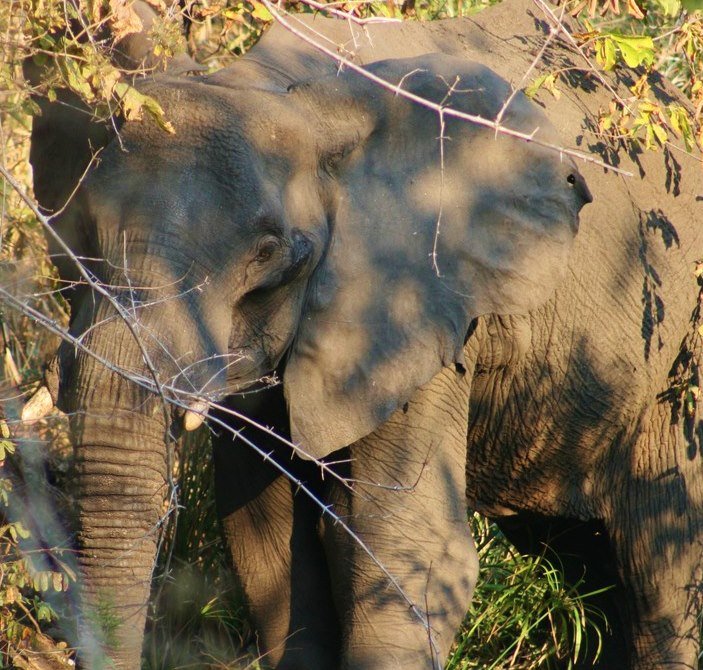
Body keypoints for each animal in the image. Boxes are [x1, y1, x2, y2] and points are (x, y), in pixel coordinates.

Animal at [22, 0, 702, 669]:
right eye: (72, 242)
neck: (283, 91)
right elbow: (266, 541)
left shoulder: (422, 302)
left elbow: (406, 544)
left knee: (661, 569)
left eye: (269, 258)